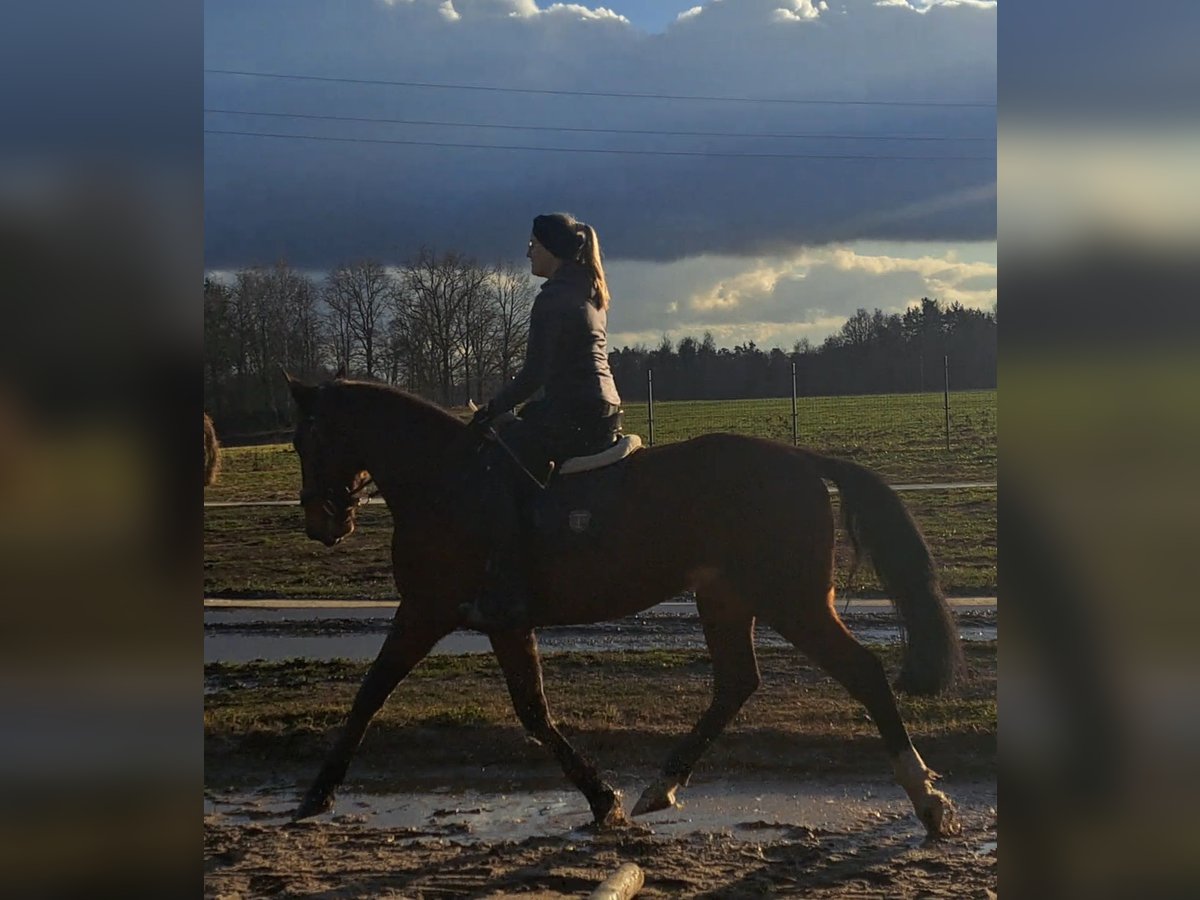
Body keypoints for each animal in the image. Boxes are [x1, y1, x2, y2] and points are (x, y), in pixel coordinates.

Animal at [282, 370, 966, 838]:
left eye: (302, 440)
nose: (321, 523)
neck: (444, 480)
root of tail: (797, 457)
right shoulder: (499, 623)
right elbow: (530, 711)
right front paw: (601, 797)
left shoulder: (427, 610)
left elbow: (373, 693)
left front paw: (316, 793)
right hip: (725, 597)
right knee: (736, 683)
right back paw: (662, 785)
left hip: (791, 599)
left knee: (862, 672)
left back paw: (927, 798)